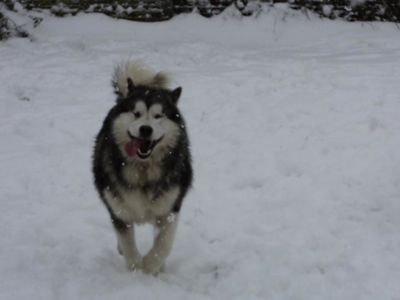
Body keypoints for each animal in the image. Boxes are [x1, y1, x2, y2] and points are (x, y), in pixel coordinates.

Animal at [94, 60, 194, 274]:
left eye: (158, 115)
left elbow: (163, 245)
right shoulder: (119, 208)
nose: (145, 129)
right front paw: (136, 268)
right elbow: (127, 243)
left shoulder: (170, 208)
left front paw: (150, 267)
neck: (143, 169)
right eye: (136, 113)